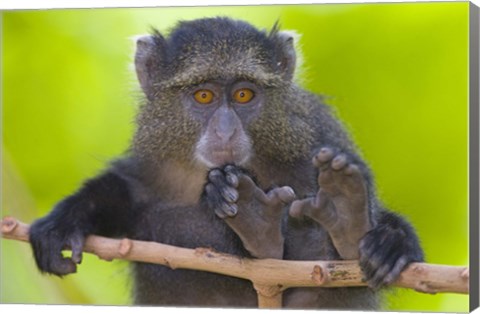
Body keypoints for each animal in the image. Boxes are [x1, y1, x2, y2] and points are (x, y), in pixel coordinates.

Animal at [28, 17, 422, 310]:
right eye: (204, 95)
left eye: (244, 94)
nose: (226, 130)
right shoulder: (151, 165)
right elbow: (124, 192)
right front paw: (63, 222)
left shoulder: (320, 139)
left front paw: (392, 241)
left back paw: (344, 224)